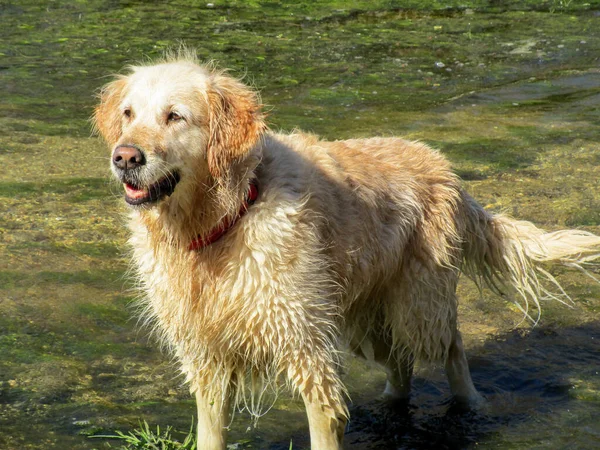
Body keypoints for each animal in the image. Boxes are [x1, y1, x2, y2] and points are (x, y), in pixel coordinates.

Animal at [92, 51, 600, 448]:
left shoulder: (306, 346)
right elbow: (210, 429)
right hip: (364, 317)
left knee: (452, 349)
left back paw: (471, 403)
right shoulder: (206, 354)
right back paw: (389, 404)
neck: (224, 218)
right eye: (129, 114)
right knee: (400, 365)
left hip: (418, 305)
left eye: (175, 116)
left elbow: (323, 420)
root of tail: (445, 168)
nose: (125, 157)